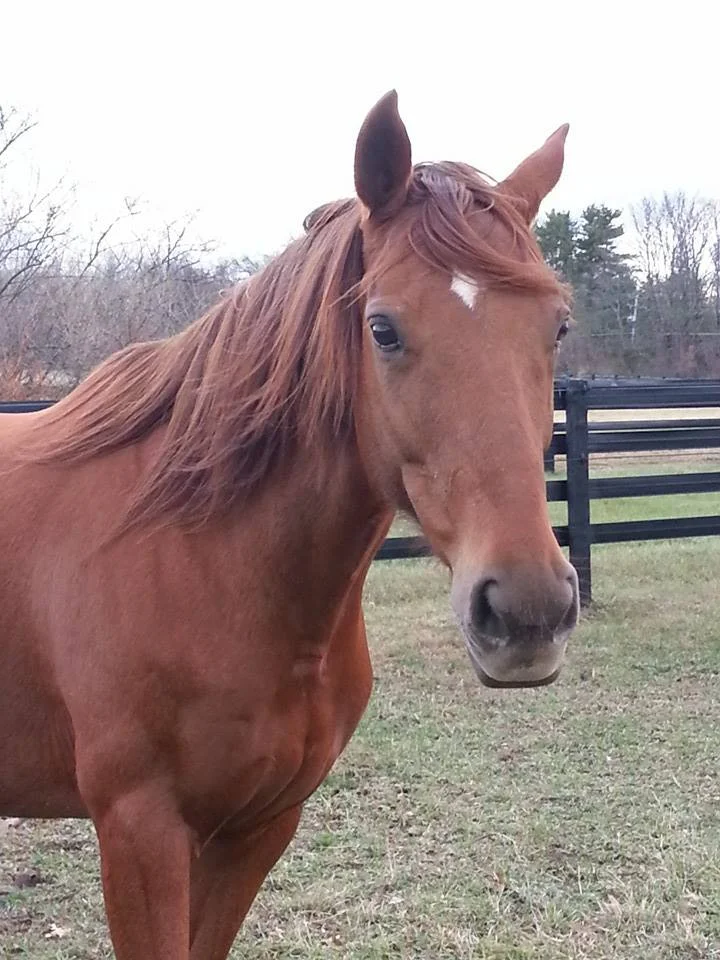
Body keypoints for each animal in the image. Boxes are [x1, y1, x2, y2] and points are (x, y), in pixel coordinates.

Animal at [0, 91, 578, 958]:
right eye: (382, 328)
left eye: (558, 327)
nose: (527, 612)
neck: (200, 556)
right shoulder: (139, 832)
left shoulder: (258, 827)